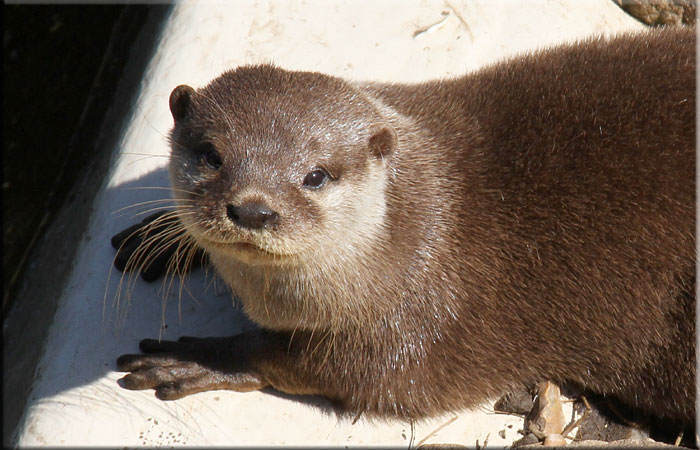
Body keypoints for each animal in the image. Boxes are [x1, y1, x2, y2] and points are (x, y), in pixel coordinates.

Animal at [113, 27, 695, 426]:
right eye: (211, 156)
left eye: (315, 175)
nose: (253, 209)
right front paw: (162, 237)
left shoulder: (433, 317)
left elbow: (352, 372)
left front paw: (194, 356)